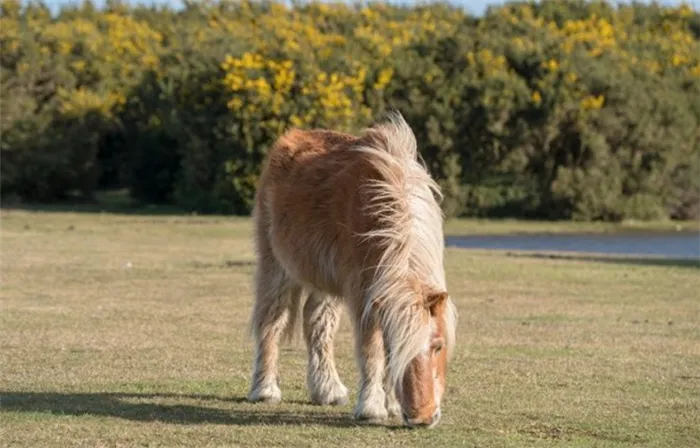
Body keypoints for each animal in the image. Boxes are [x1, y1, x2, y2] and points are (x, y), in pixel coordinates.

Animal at [247, 111, 460, 428]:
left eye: (438, 345)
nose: (422, 418)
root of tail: (292, 138)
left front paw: (391, 404)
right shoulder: (363, 292)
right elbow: (372, 349)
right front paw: (372, 408)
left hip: (325, 279)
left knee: (316, 323)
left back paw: (327, 390)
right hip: (276, 267)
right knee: (272, 320)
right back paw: (265, 389)